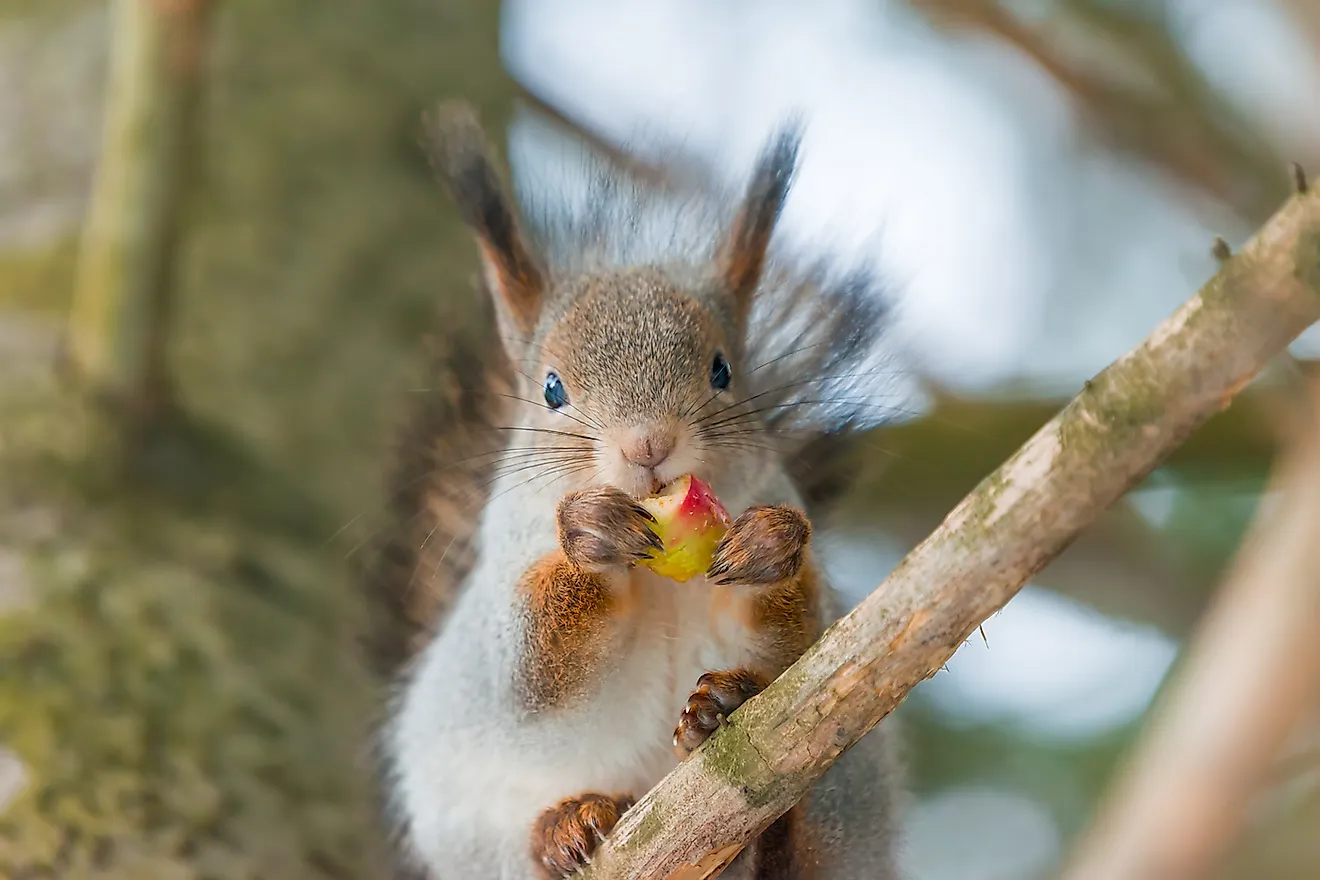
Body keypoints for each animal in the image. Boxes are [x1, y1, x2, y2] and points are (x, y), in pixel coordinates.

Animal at [372, 104, 908, 880]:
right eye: (552, 390)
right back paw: (566, 827)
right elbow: (528, 670)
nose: (648, 446)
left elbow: (801, 641)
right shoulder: (500, 591)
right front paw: (589, 535)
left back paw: (734, 737)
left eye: (722, 371)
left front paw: (771, 547)